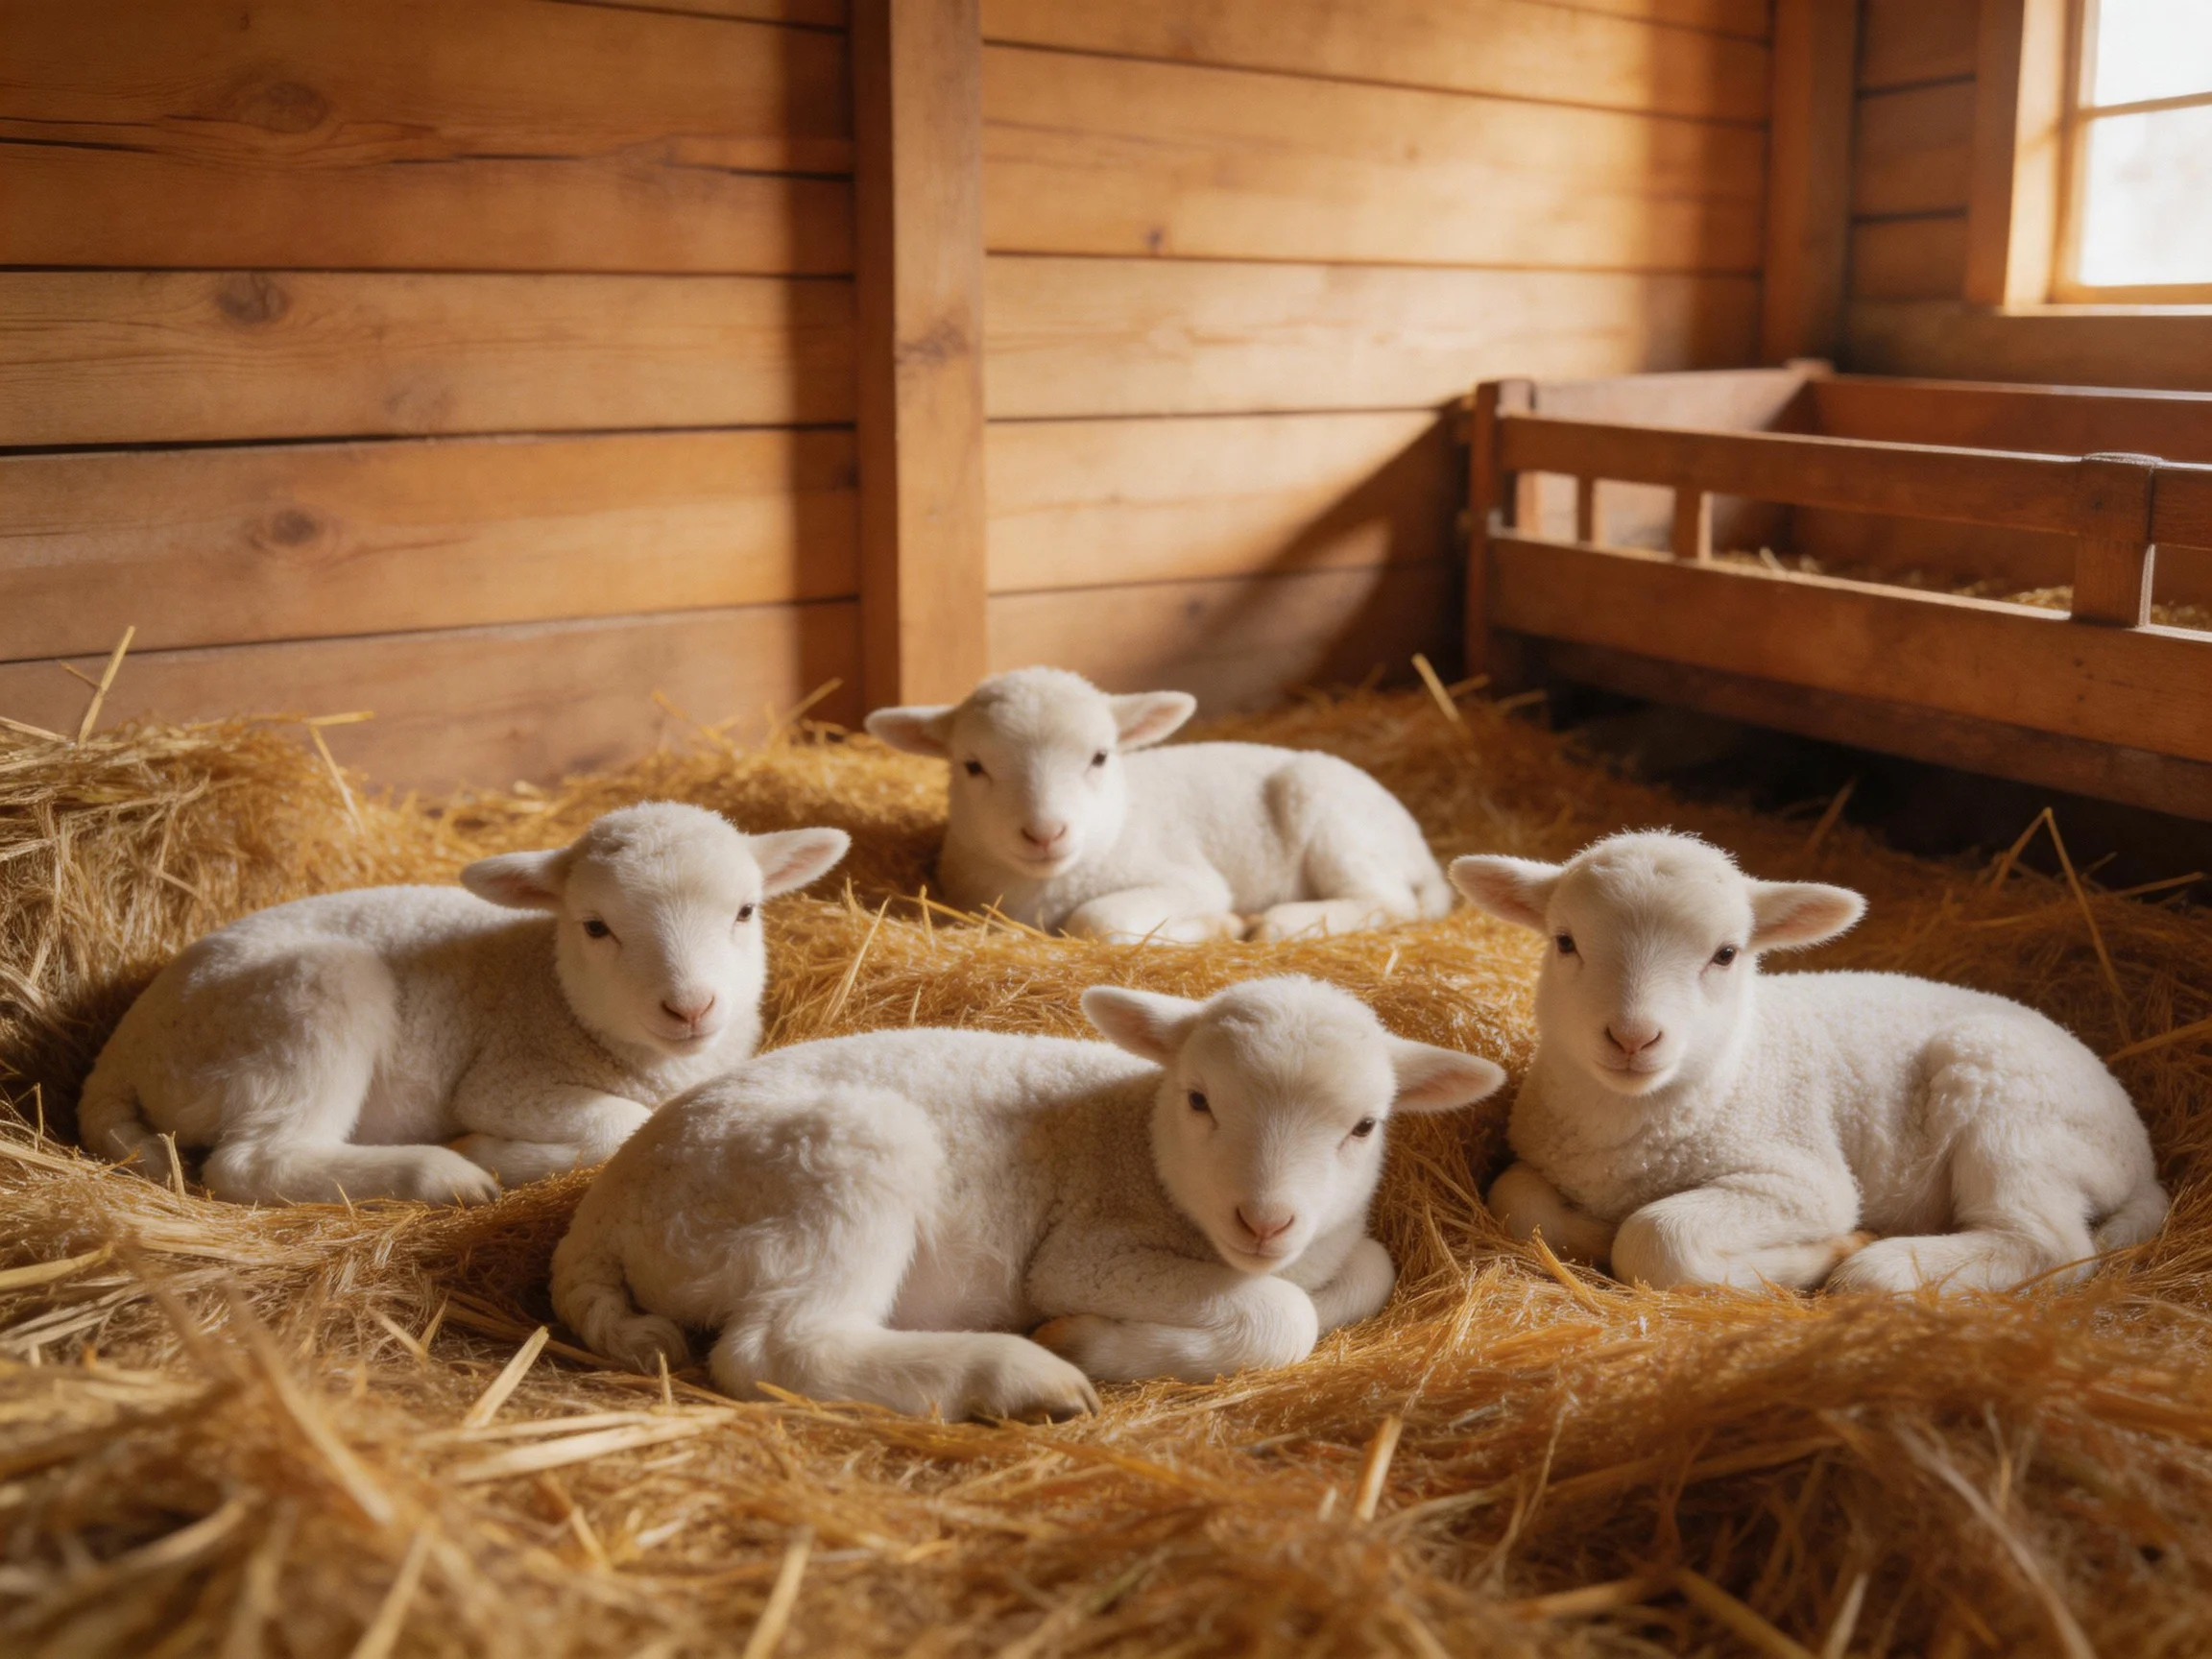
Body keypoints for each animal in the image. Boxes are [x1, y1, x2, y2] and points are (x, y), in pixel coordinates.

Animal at [78, 803, 849, 1207]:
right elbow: (623, 1123)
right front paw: (491, 1152)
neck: (554, 991)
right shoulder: (508, 1080)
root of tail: (122, 1049)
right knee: (250, 1162)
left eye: (746, 911)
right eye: (595, 927)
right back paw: (444, 1173)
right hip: (303, 1006)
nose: (690, 1007)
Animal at [551, 974, 1503, 1418]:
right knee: (778, 1349)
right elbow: (1281, 1315)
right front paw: (1085, 1339)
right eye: (1199, 1100)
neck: (1138, 1136)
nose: (1264, 1219)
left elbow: (1369, 1265)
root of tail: (605, 1209)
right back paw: (1015, 1376)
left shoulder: (1336, 1243)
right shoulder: (1088, 1250)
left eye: (1364, 1127)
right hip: (836, 1166)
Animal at [864, 666, 1454, 944]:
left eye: (1100, 757)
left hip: (1332, 818)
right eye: (973, 766)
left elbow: (1098, 919)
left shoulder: (1190, 881)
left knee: (1388, 901)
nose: (1045, 833)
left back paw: (1278, 922)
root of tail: (1421, 847)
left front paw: (1223, 926)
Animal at [1449, 831, 2167, 1294]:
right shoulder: (1540, 1153)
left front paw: (1819, 1255)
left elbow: (1656, 1239)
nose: (1633, 1037)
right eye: (1565, 942)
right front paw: (1591, 1232)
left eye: (1726, 954)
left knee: (2048, 1244)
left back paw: (1881, 1270)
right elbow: (1515, 1201)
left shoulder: (1801, 1180)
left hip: (2011, 1106)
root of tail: (2141, 1154)